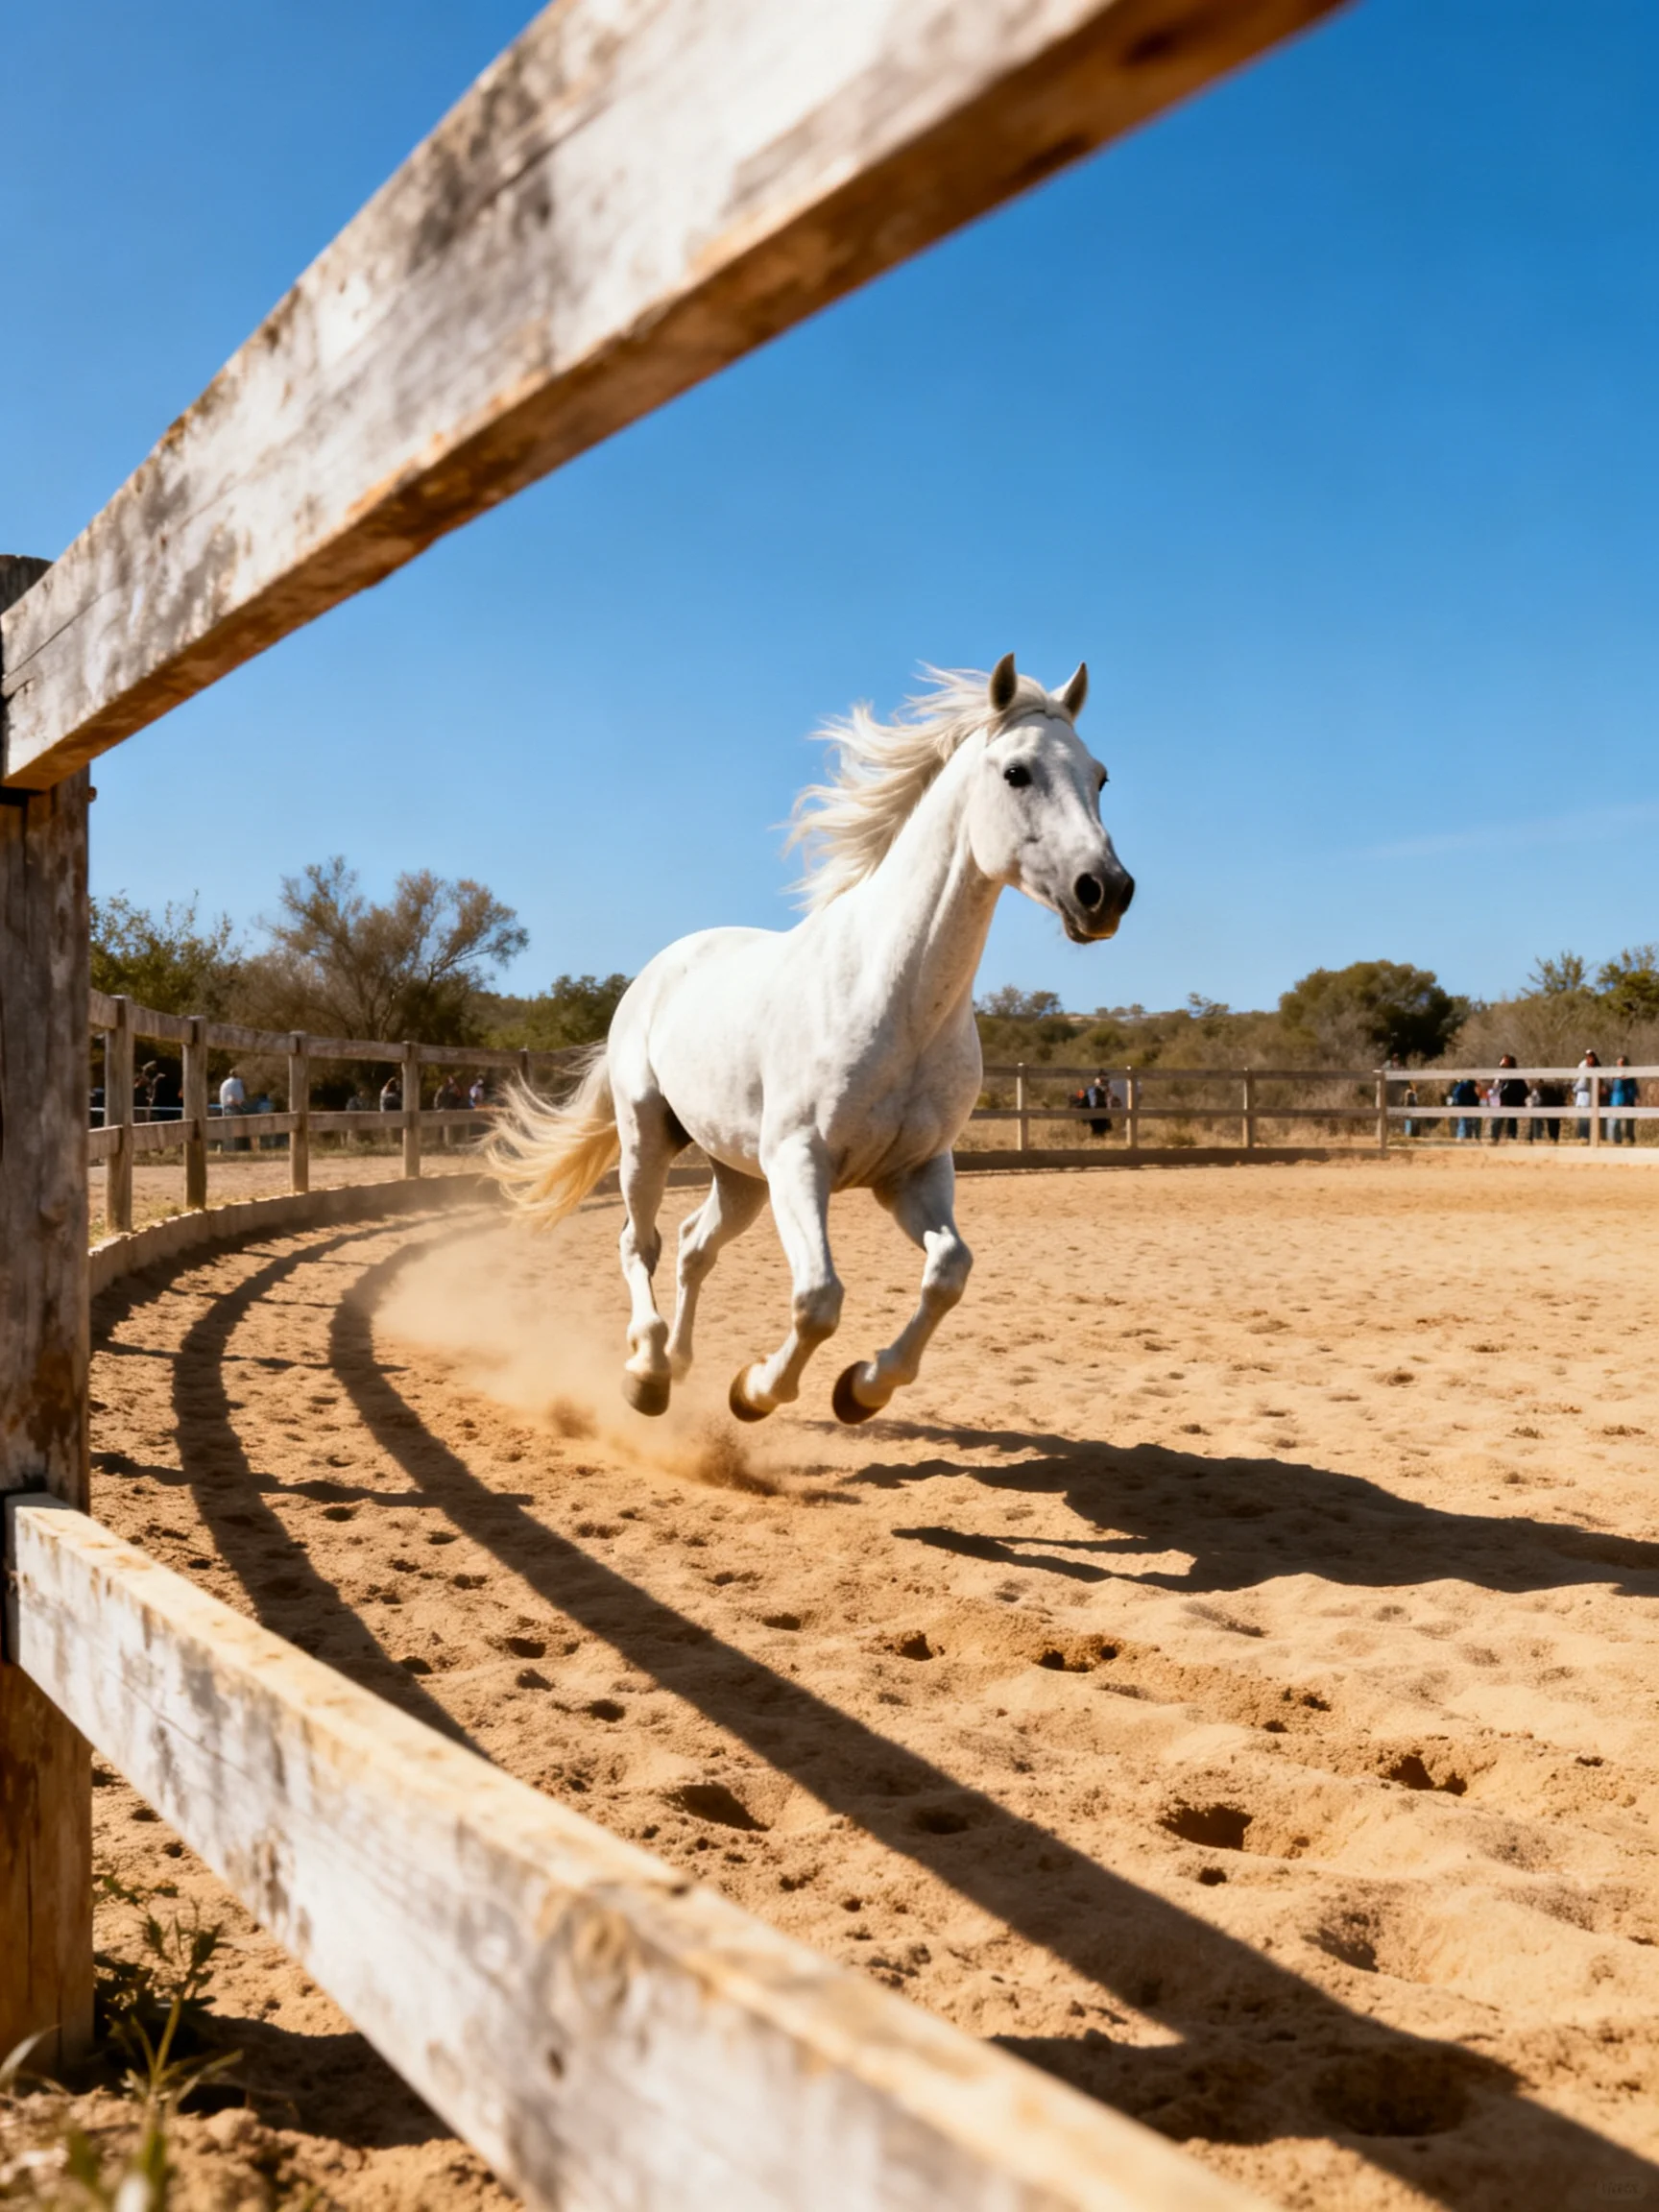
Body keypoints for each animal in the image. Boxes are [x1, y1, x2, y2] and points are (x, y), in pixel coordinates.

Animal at [486, 654, 1133, 1425]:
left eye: (1100, 776)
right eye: (1016, 772)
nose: (1106, 891)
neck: (897, 1000)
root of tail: (659, 969)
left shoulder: (915, 1172)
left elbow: (948, 1272)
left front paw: (861, 1388)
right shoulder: (800, 1160)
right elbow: (819, 1298)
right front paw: (755, 1391)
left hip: (739, 1172)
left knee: (692, 1245)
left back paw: (680, 1361)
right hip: (649, 1136)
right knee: (639, 1243)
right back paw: (647, 1372)